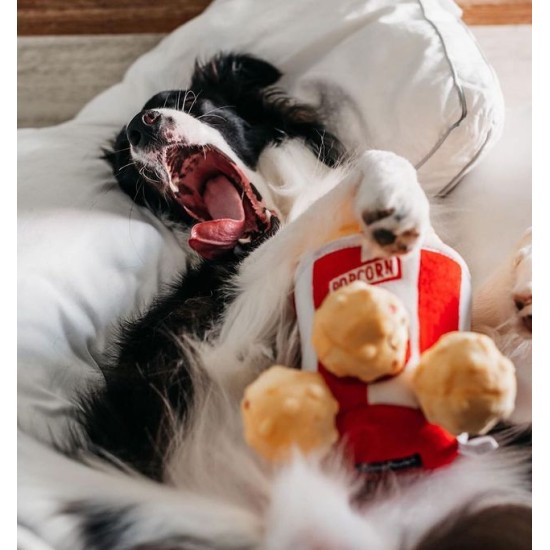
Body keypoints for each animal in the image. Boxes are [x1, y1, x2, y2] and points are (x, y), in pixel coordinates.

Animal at [66, 52, 536, 550]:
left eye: (179, 100)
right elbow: (370, 165)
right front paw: (393, 200)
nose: (140, 127)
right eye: (126, 168)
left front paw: (523, 291)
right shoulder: (226, 341)